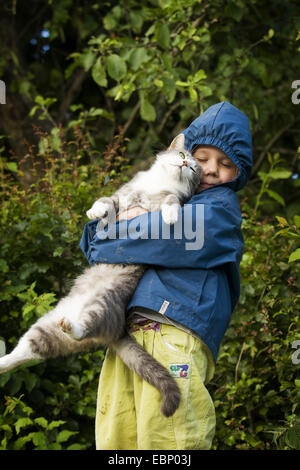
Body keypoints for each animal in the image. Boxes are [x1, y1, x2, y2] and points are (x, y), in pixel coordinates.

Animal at [0, 134, 203, 416]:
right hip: (43, 326)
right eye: (182, 155)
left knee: (82, 329)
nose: (184, 164)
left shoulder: (166, 198)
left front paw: (172, 217)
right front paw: (95, 213)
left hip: (101, 306)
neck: (158, 183)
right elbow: (105, 201)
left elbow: (171, 201)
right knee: (26, 352)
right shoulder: (121, 195)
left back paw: (72, 326)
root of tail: (116, 333)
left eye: (193, 168)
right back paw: (4, 361)